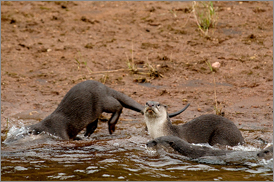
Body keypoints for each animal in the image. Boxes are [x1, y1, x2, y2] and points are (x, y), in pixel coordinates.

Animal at [18, 80, 188, 140]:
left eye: (25, 133)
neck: (48, 126)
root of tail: (104, 86)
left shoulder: (60, 133)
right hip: (93, 112)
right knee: (93, 124)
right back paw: (87, 135)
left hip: (102, 101)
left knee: (118, 106)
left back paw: (111, 126)